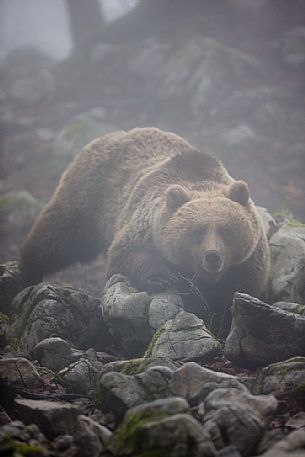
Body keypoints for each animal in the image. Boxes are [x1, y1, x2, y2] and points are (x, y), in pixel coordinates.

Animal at [19, 124, 268, 324]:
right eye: (198, 231)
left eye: (226, 231)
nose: (213, 257)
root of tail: (117, 134)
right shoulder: (144, 224)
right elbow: (127, 254)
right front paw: (162, 278)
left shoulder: (248, 259)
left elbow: (240, 289)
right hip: (90, 195)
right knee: (60, 235)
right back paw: (28, 269)